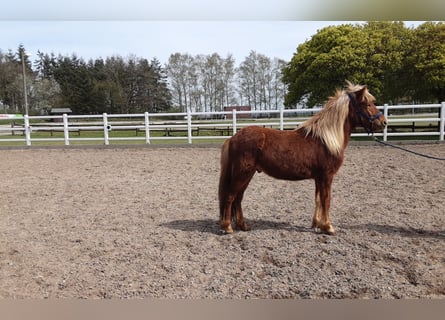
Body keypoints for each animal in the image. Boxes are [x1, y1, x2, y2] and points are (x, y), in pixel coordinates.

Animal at [219, 81, 386, 234]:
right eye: (367, 103)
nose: (383, 122)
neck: (325, 139)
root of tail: (233, 138)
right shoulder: (327, 176)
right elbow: (326, 200)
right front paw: (328, 227)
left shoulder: (319, 177)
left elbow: (318, 199)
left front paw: (317, 224)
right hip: (242, 173)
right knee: (230, 196)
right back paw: (227, 227)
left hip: (248, 174)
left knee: (238, 198)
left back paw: (243, 225)